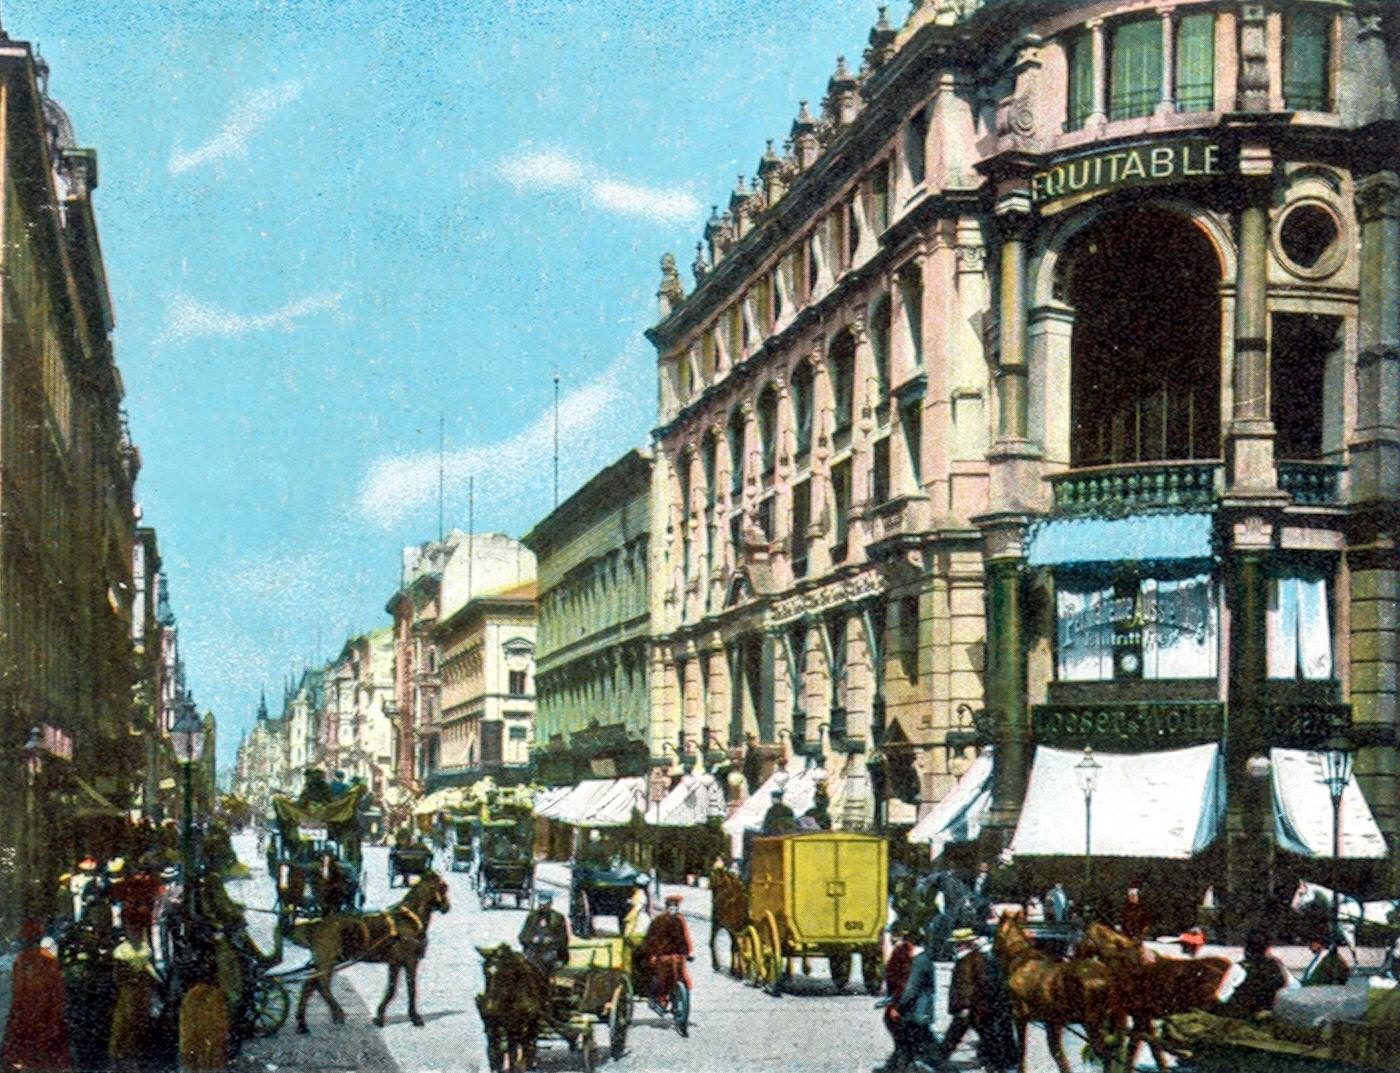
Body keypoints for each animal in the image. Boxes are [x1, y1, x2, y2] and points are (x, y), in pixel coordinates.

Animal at [289, 868, 448, 1036]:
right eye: (444, 887)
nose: (447, 907)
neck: (409, 919)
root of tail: (315, 925)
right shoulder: (408, 961)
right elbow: (408, 989)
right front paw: (412, 1017)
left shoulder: (396, 963)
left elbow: (394, 988)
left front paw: (380, 1016)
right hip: (327, 962)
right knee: (322, 985)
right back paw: (338, 1013)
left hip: (325, 962)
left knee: (309, 985)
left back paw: (302, 1024)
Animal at [991, 913, 1120, 1073]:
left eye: (996, 932)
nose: (993, 950)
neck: (1021, 961)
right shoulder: (1052, 1022)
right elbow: (1058, 1055)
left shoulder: (1019, 1015)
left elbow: (1023, 1049)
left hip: (1092, 1024)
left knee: (1106, 1055)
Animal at [1075, 918, 1232, 1070]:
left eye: (1086, 941)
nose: (1078, 957)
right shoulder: (1140, 1016)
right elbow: (1148, 1049)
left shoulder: (1140, 1015)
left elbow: (1139, 1049)